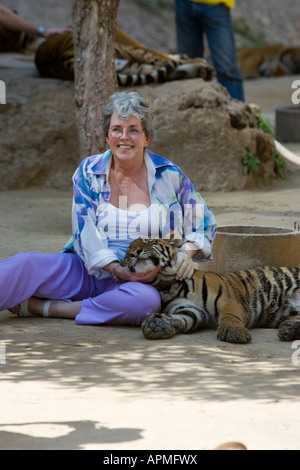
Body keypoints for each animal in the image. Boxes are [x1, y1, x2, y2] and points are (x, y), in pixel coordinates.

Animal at [121, 233, 300, 344]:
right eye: (127, 253)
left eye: (147, 241)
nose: (134, 252)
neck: (167, 285)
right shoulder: (190, 310)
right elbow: (181, 319)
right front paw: (158, 324)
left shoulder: (229, 300)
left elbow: (231, 316)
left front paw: (234, 332)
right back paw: (290, 329)